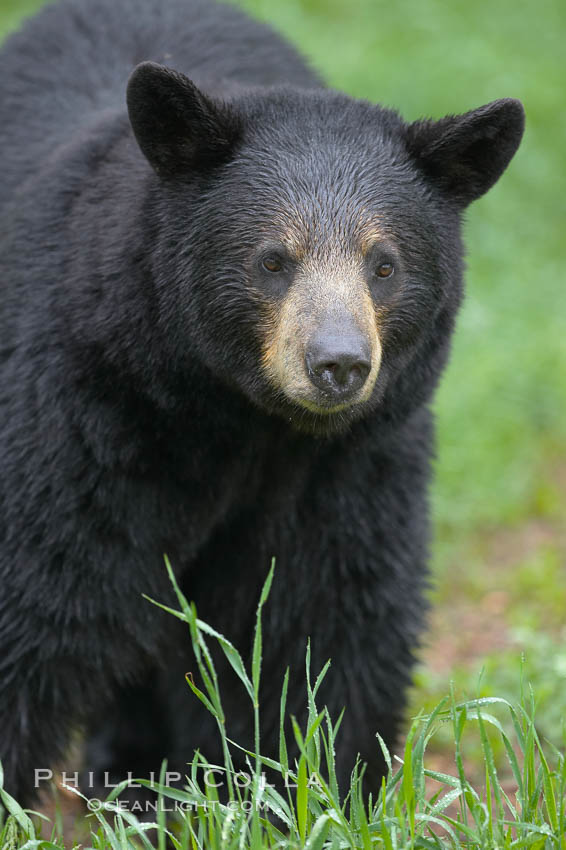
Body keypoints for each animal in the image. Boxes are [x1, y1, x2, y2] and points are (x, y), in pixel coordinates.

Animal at [0, 0, 524, 804]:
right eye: (273, 260)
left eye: (384, 264)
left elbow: (317, 623)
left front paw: (305, 789)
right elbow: (35, 588)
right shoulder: (77, 414)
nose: (338, 364)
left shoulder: (345, 462)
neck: (231, 419)